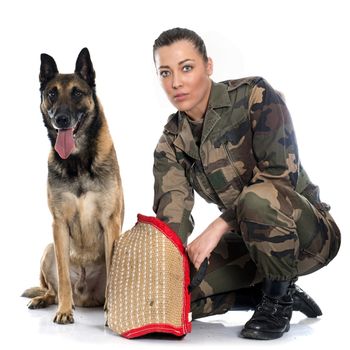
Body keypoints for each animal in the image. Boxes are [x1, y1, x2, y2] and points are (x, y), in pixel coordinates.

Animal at [21, 47, 123, 324]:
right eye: (52, 94)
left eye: (77, 93)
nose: (61, 119)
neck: (77, 161)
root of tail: (86, 297)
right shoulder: (59, 224)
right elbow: (64, 277)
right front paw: (64, 311)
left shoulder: (111, 222)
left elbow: (112, 273)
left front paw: (112, 313)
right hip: (48, 249)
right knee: (52, 289)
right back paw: (45, 300)